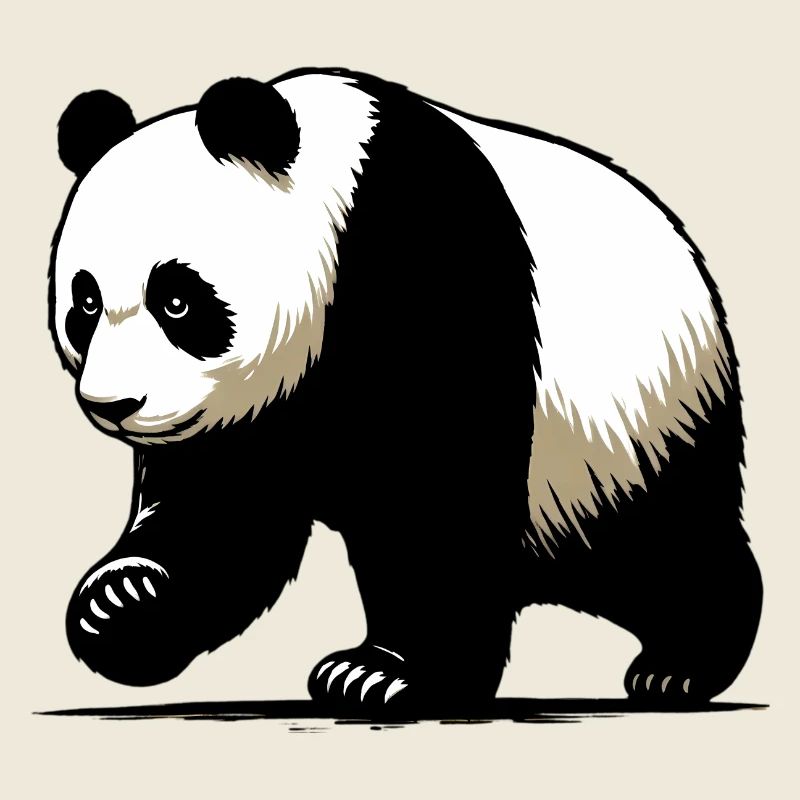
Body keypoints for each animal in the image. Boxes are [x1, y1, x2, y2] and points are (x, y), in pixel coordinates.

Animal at [50, 67, 762, 713]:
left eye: (176, 299)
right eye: (84, 302)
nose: (114, 406)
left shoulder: (426, 262)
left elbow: (439, 488)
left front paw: (386, 674)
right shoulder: (253, 416)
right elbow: (222, 515)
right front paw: (121, 602)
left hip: (634, 427)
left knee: (664, 544)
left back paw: (679, 665)